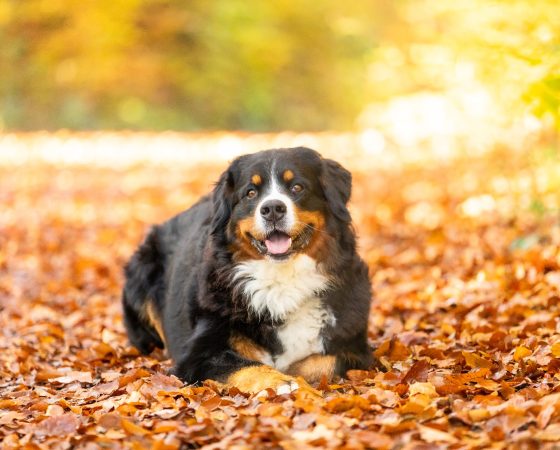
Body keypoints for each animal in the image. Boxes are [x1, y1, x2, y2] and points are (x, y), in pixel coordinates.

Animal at [122, 147, 372, 394]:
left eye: (297, 187)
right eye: (250, 193)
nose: (273, 209)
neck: (281, 280)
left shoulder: (355, 348)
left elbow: (328, 361)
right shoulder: (197, 355)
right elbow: (247, 365)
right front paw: (282, 382)